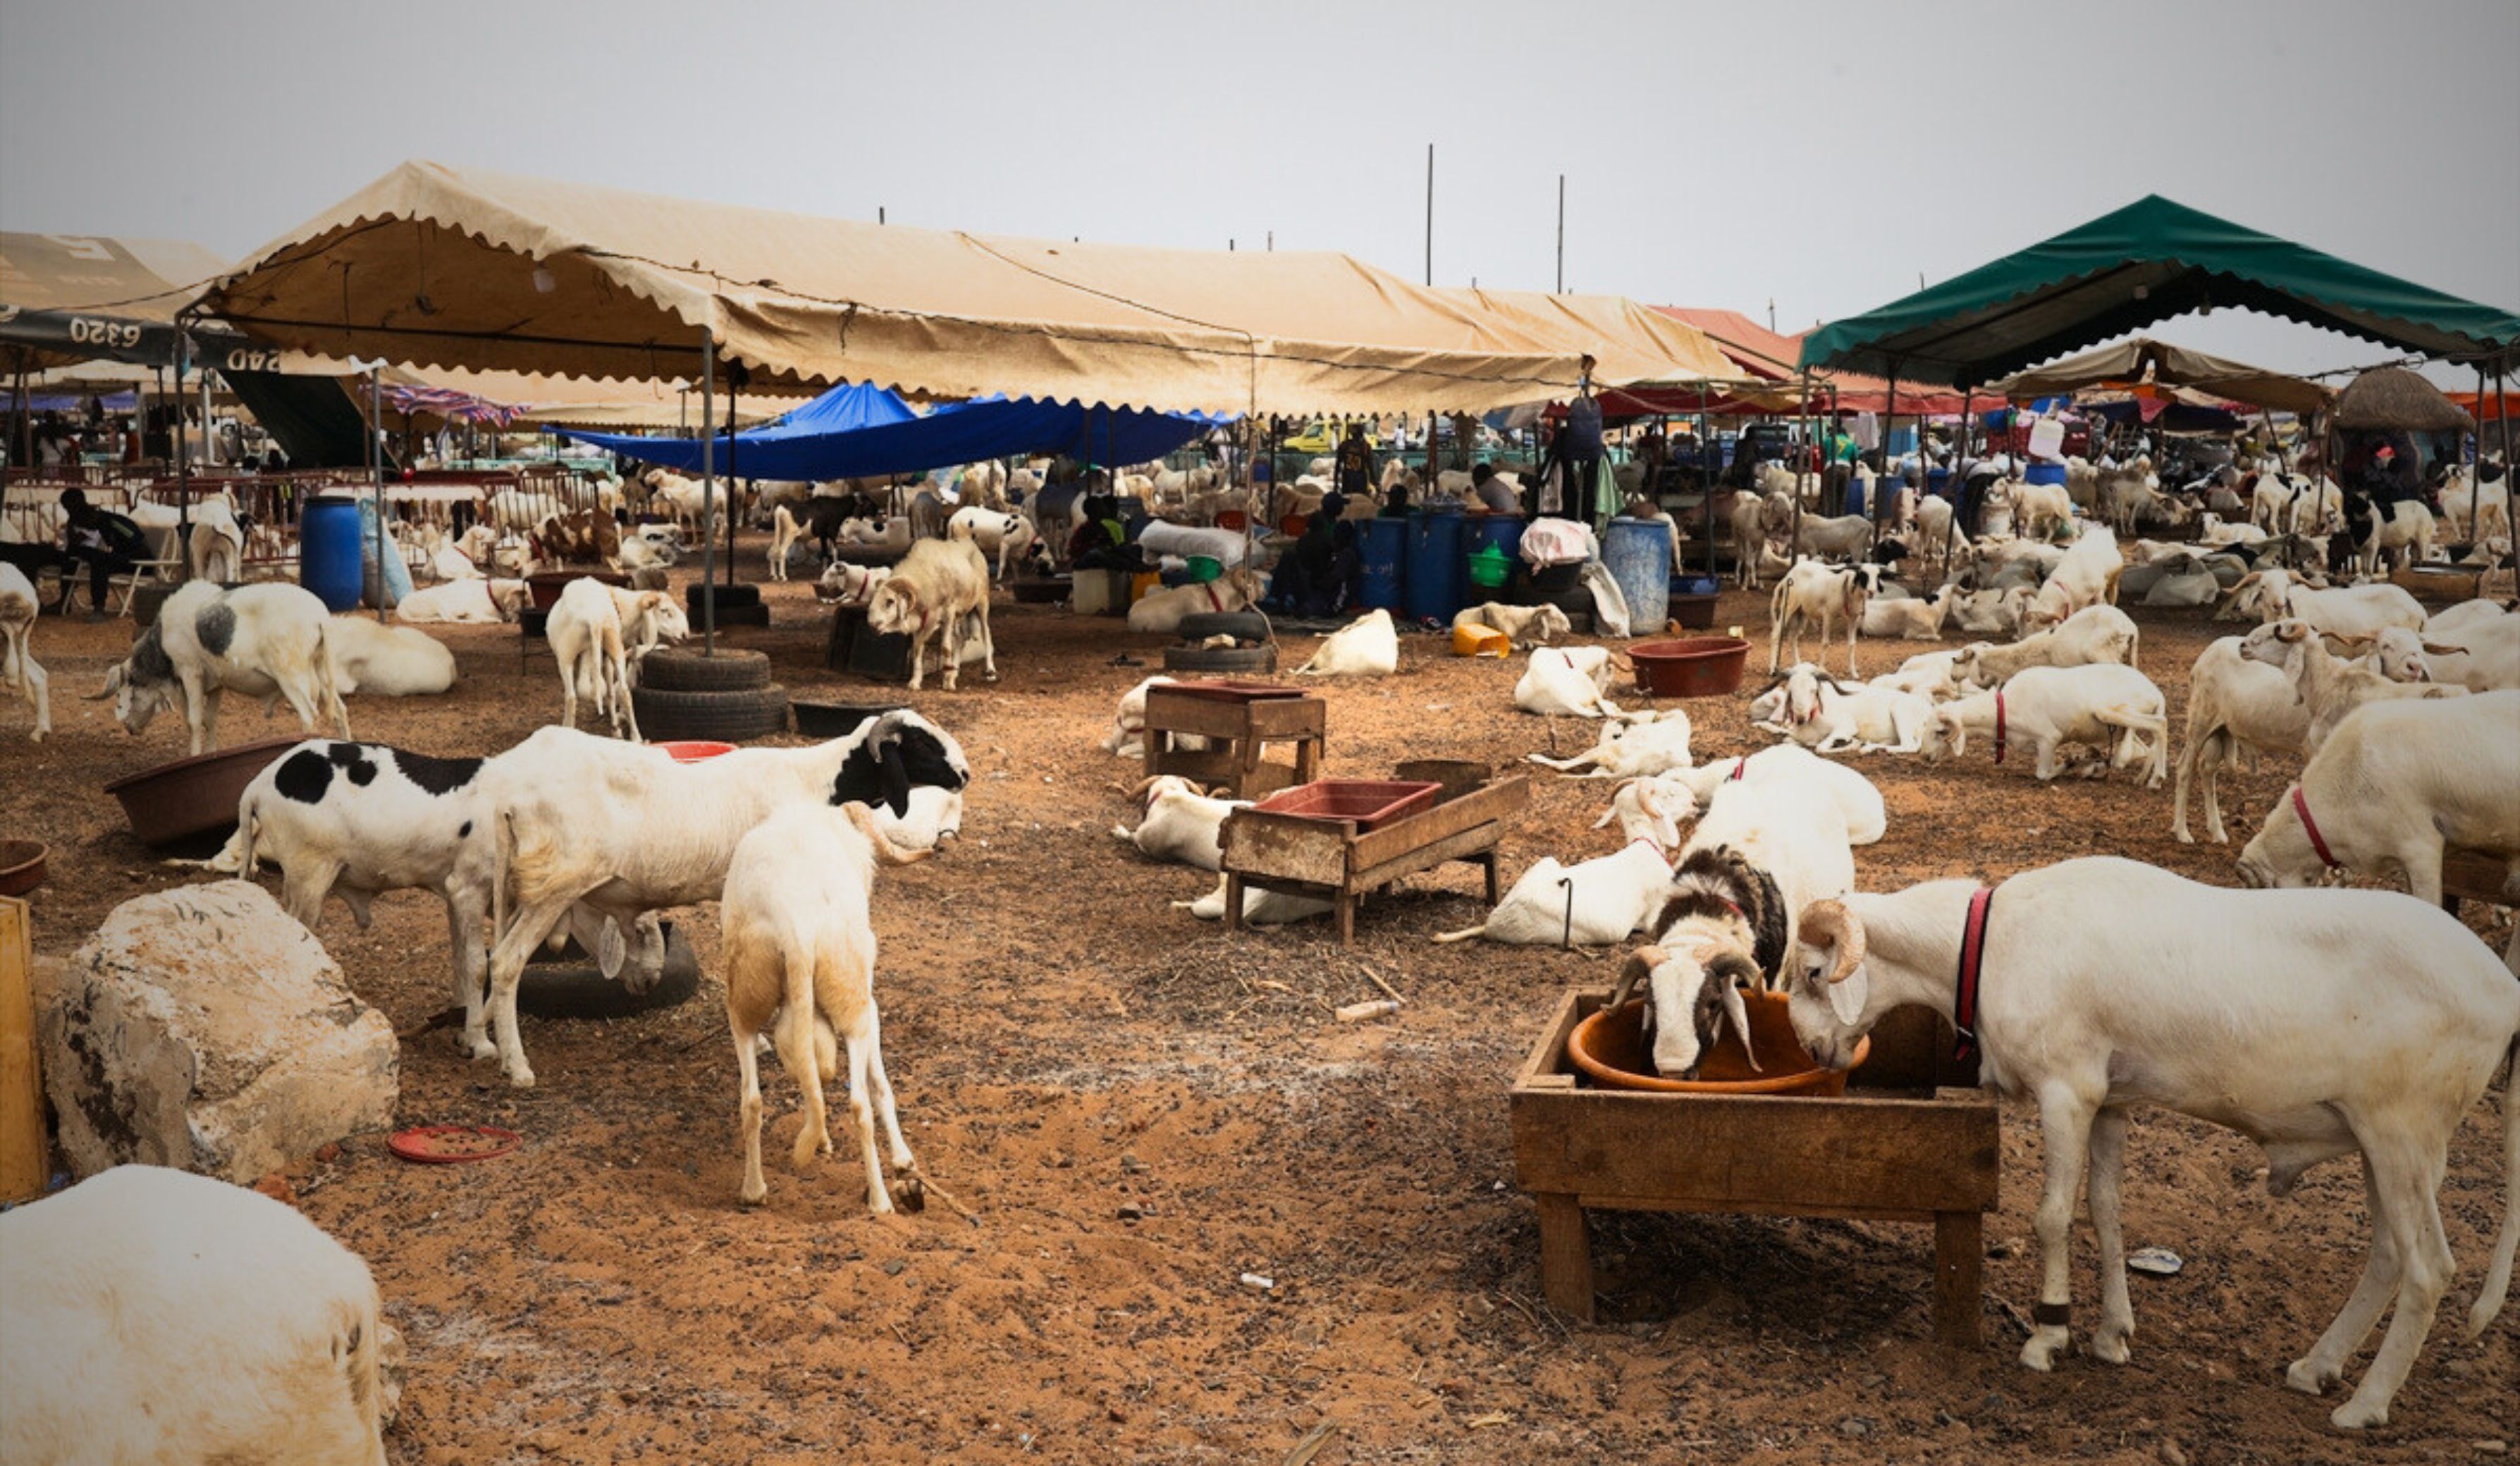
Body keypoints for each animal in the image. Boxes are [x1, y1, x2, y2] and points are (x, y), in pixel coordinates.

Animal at [96, 577, 352, 751]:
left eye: (122, 694)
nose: (128, 728)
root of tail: (319, 617)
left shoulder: (191, 673)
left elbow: (194, 721)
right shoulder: (216, 684)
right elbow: (210, 721)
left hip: (292, 677)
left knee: (309, 716)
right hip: (321, 672)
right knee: (340, 711)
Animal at [1794, 861, 2520, 1441]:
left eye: (1812, 972)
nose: (1810, 1049)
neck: (1989, 945)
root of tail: (2505, 993)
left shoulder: (2067, 1091)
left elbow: (2051, 1218)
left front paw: (2047, 1335)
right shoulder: (2110, 1101)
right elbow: (2104, 1212)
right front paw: (2111, 1334)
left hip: (2403, 1133)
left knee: (2429, 1269)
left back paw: (2364, 1406)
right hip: (2385, 1142)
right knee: (2390, 1256)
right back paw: (2316, 1367)